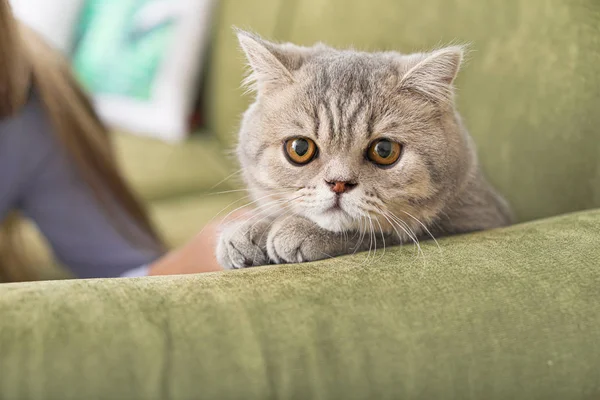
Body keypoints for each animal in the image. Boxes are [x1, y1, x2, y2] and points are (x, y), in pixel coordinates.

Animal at [216, 30, 510, 268]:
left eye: (384, 150)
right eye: (299, 148)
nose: (338, 184)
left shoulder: (478, 217)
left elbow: (378, 233)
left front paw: (298, 230)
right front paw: (249, 229)